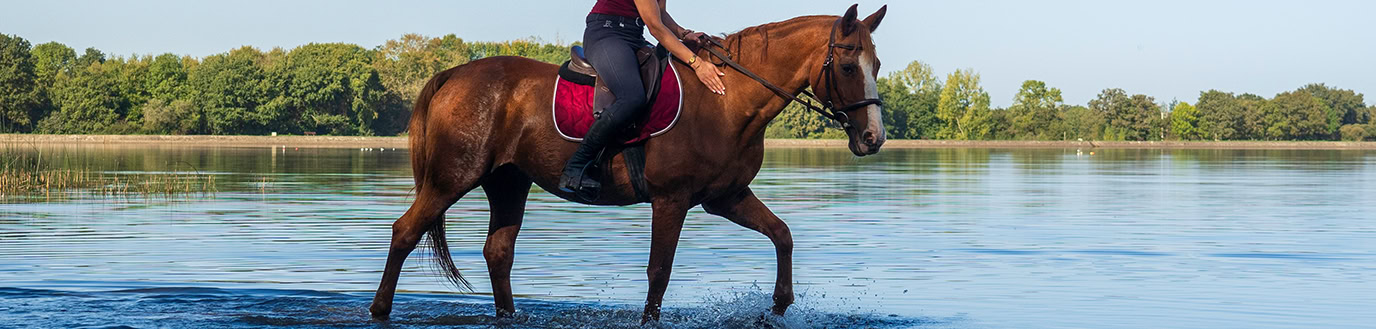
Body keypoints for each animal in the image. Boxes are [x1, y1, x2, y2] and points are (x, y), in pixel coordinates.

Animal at [368, 3, 891, 322]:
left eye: (878, 65)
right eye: (849, 66)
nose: (873, 138)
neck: (726, 99)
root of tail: (455, 72)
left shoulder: (725, 197)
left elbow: (782, 234)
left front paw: (780, 305)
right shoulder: (672, 200)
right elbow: (659, 271)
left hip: (508, 181)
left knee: (498, 252)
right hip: (452, 177)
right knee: (405, 232)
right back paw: (379, 311)